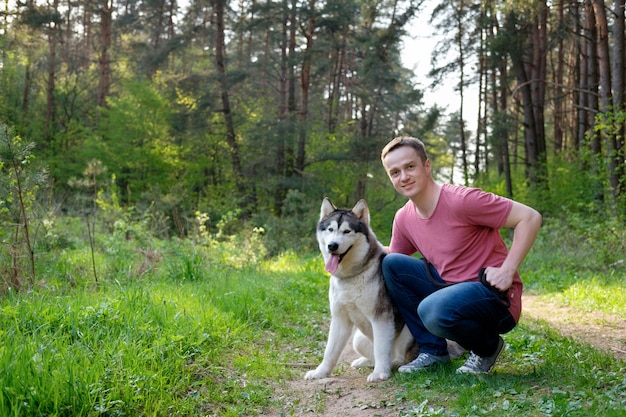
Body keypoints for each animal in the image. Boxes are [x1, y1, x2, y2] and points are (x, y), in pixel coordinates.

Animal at [304, 197, 416, 382]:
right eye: (330, 229)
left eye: (347, 231)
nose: (332, 246)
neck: (351, 277)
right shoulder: (340, 319)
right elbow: (330, 352)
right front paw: (321, 372)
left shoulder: (381, 317)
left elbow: (381, 349)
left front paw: (380, 373)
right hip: (358, 339)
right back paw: (364, 362)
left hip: (407, 333)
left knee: (398, 358)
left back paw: (390, 365)